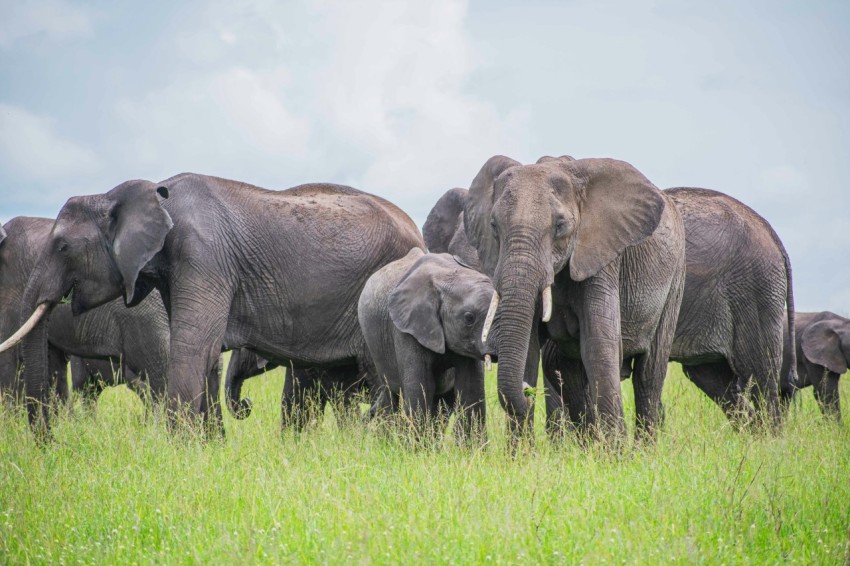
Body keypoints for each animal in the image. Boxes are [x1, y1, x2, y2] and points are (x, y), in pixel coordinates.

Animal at [0, 174, 420, 440]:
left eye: (62, 247)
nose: (51, 444)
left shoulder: (202, 256)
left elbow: (192, 347)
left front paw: (178, 453)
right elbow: (203, 352)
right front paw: (208, 447)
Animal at [356, 246, 496, 438]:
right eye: (469, 318)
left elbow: (471, 388)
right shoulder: (406, 328)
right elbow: (421, 388)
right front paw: (418, 445)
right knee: (391, 394)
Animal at [460, 155, 684, 444]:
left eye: (560, 226)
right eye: (493, 226)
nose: (527, 392)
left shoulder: (602, 258)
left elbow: (599, 345)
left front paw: (616, 453)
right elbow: (529, 349)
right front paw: (520, 454)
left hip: (675, 279)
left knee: (649, 374)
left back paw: (643, 449)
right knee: (568, 371)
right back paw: (589, 445)